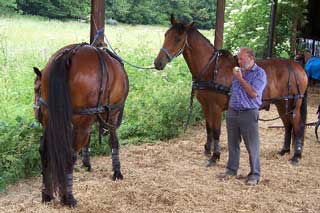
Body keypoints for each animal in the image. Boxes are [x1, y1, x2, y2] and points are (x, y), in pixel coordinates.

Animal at [33, 43, 129, 206]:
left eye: (36, 89)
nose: (36, 114)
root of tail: (69, 54)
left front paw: (86, 163)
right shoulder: (112, 116)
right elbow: (113, 142)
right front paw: (117, 172)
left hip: (50, 119)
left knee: (44, 150)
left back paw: (47, 194)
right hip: (84, 122)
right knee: (69, 154)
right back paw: (68, 197)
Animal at [154, 16, 308, 166]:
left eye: (178, 38)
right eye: (166, 35)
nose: (158, 63)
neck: (211, 69)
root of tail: (297, 67)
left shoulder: (216, 108)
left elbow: (216, 131)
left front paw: (215, 156)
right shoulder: (206, 106)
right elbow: (209, 128)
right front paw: (207, 150)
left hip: (294, 105)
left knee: (297, 126)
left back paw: (296, 156)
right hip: (282, 104)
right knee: (288, 125)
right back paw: (284, 150)